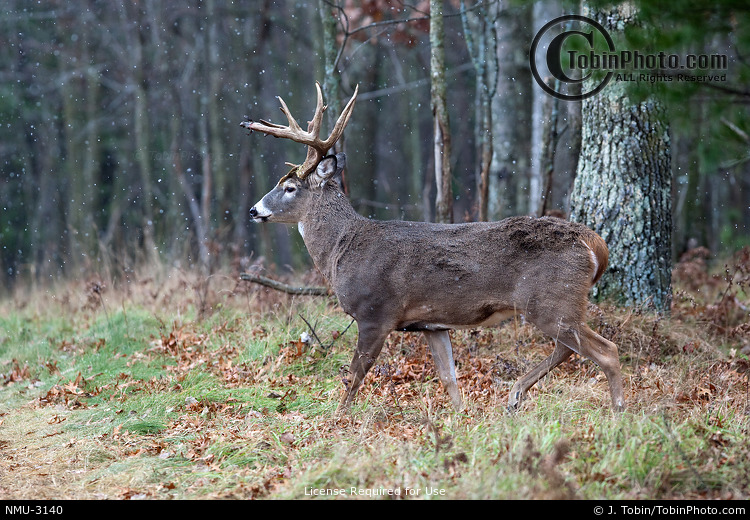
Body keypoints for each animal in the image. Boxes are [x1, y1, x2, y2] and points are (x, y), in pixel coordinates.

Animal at [242, 83, 626, 414]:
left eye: (289, 187)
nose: (253, 210)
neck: (341, 250)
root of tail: (596, 244)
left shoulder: (376, 313)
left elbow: (355, 375)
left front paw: (338, 419)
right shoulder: (432, 325)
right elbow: (448, 377)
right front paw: (459, 417)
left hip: (550, 300)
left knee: (605, 350)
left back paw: (618, 412)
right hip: (555, 304)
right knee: (567, 349)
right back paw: (514, 396)